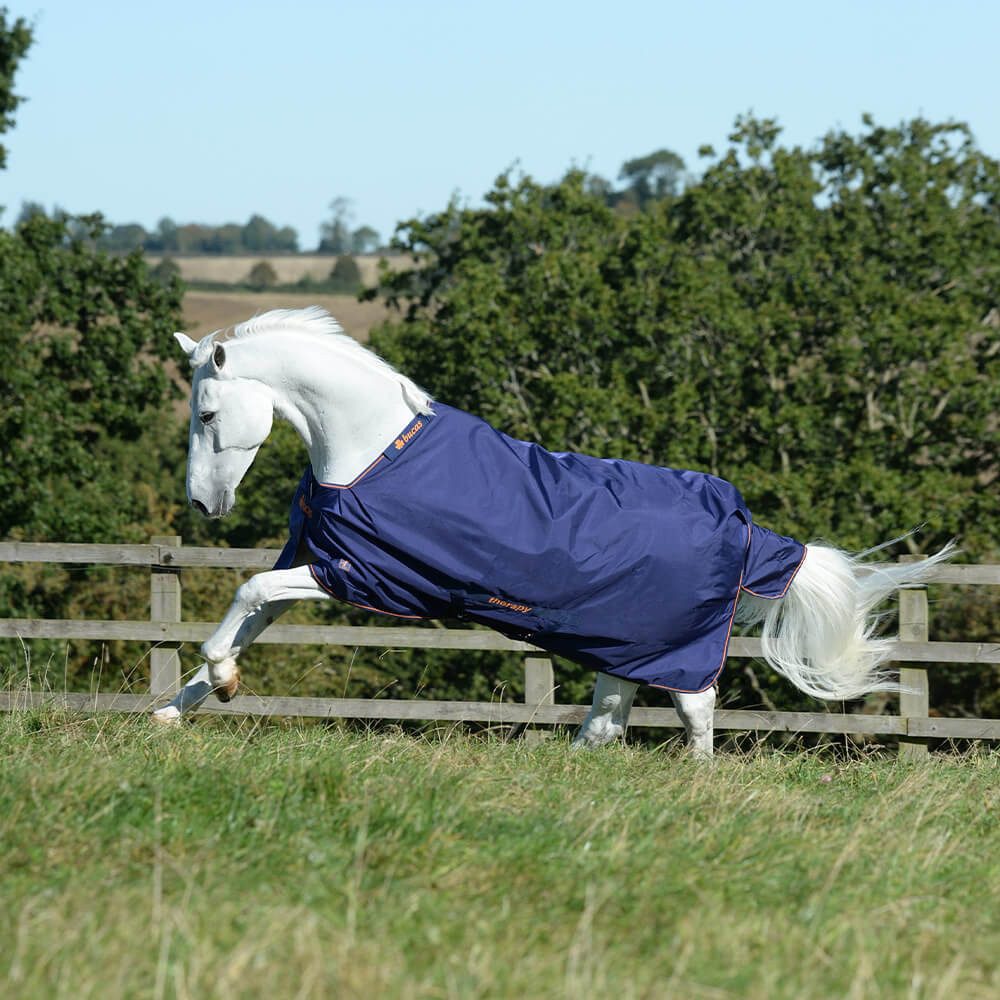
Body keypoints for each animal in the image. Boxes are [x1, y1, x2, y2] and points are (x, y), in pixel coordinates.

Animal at [152, 307, 952, 756]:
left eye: (207, 415)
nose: (201, 504)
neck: (372, 452)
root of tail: (747, 529)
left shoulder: (359, 576)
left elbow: (248, 594)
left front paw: (218, 681)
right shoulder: (315, 564)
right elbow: (250, 613)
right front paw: (175, 709)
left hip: (673, 653)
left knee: (695, 718)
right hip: (624, 646)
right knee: (607, 723)